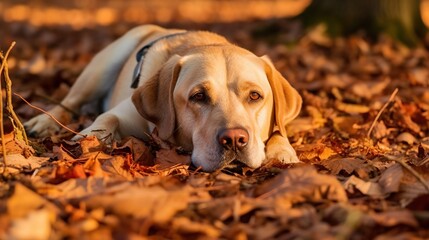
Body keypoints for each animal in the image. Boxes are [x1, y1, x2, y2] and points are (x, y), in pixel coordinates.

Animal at [25, 24, 302, 172]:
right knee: (68, 102)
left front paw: (282, 151)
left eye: (255, 96)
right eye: (198, 96)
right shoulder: (123, 112)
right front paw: (87, 139)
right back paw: (43, 122)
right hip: (103, 65)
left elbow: (280, 130)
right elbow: (105, 121)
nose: (234, 139)